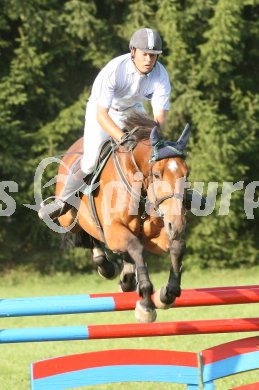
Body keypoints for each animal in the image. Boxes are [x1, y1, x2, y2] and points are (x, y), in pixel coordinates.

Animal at [54, 111, 190, 322]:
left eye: (187, 173)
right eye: (157, 175)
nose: (177, 225)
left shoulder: (154, 235)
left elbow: (176, 247)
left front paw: (167, 294)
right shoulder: (114, 230)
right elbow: (135, 247)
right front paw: (146, 304)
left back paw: (126, 278)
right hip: (68, 219)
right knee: (88, 233)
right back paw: (106, 266)